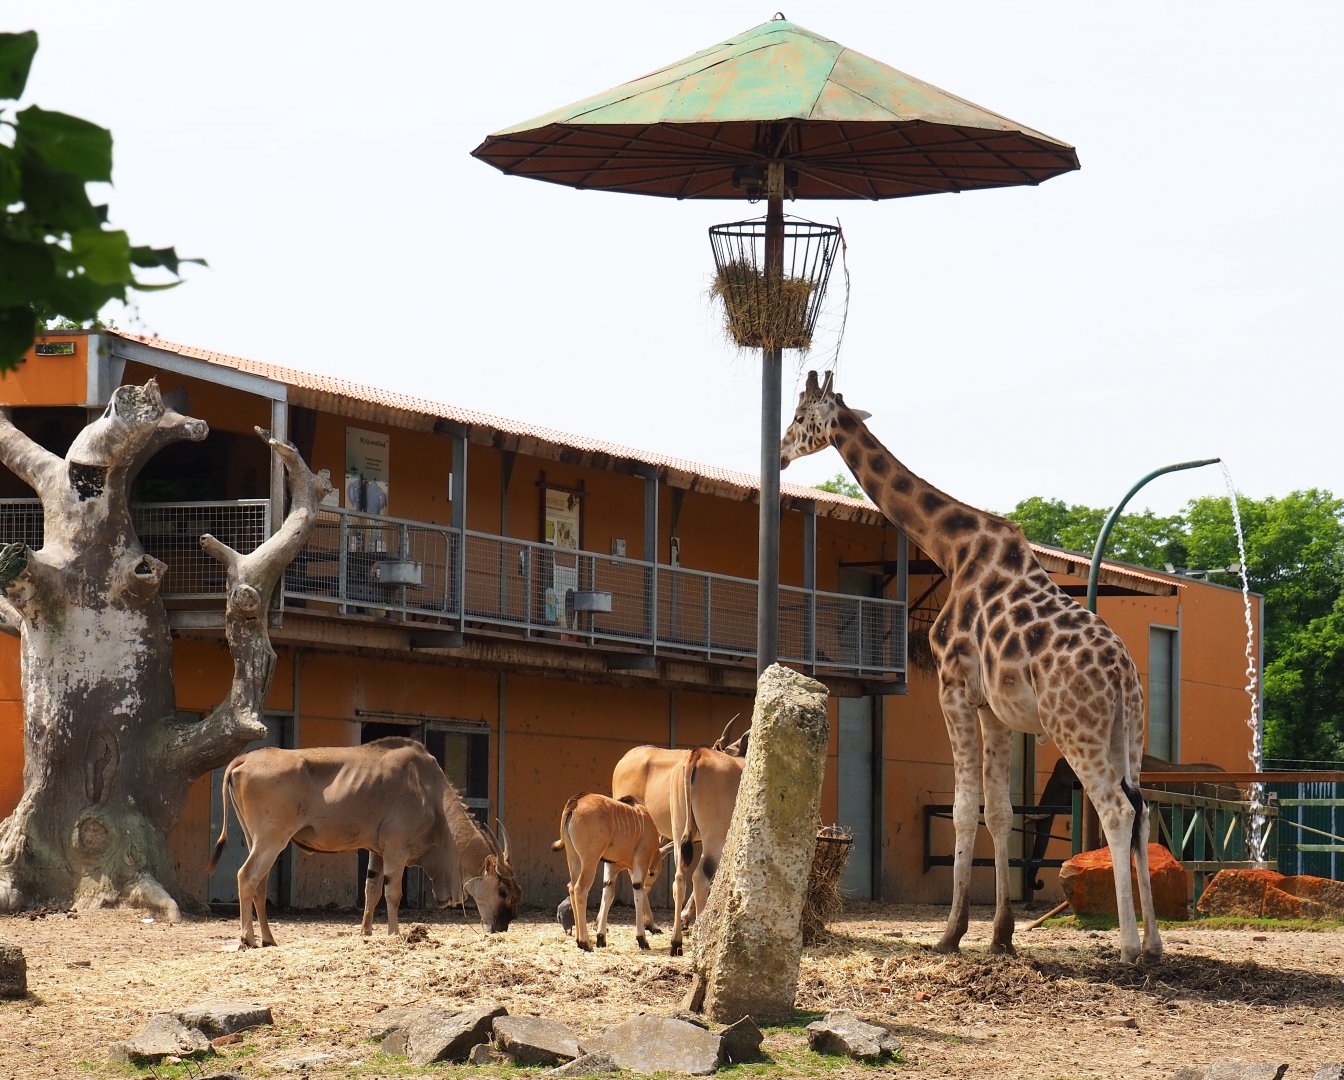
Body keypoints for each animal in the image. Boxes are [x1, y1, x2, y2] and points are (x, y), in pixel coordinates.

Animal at [780, 370, 1162, 964]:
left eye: (799, 416)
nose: (776, 454)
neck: (951, 548)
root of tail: (1122, 674)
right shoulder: (995, 709)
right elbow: (1000, 811)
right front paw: (1001, 935)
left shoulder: (952, 688)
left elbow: (964, 808)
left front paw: (950, 934)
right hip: (1129, 735)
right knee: (1144, 814)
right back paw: (1155, 945)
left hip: (1076, 729)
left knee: (1117, 812)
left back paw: (1125, 947)